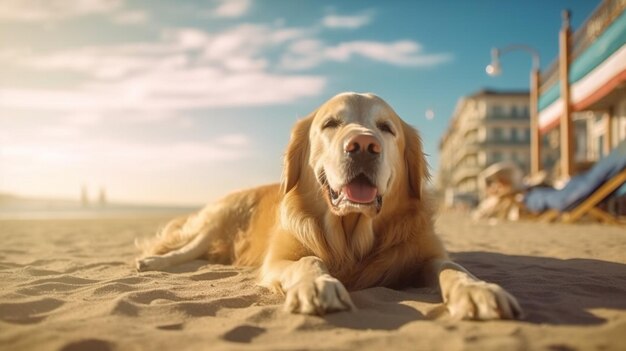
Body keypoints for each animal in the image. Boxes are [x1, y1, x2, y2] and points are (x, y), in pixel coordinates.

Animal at [136, 92, 520, 320]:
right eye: (331, 124)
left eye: (386, 128)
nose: (363, 144)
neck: (351, 232)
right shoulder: (279, 258)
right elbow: (309, 259)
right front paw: (318, 285)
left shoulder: (426, 254)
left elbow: (453, 267)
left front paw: (478, 290)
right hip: (220, 218)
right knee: (187, 247)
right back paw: (152, 261)